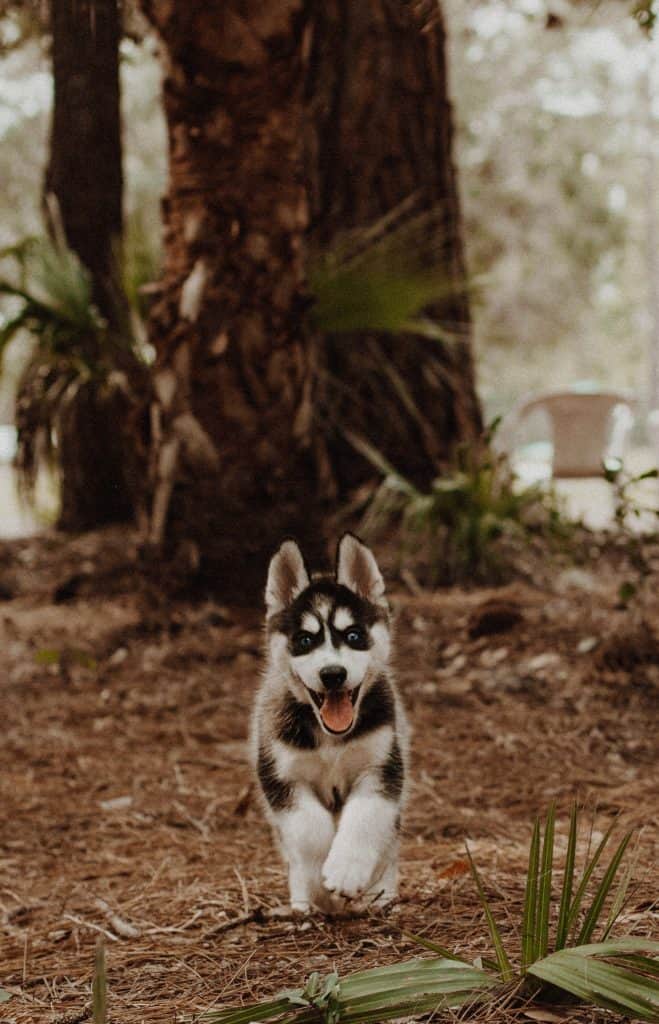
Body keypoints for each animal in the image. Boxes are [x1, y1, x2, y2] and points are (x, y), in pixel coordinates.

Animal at [250, 536, 407, 913]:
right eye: (305, 640)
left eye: (353, 636)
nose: (332, 674)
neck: (331, 739)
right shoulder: (281, 775)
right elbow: (309, 829)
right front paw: (321, 881)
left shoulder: (381, 768)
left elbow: (364, 818)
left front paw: (346, 872)